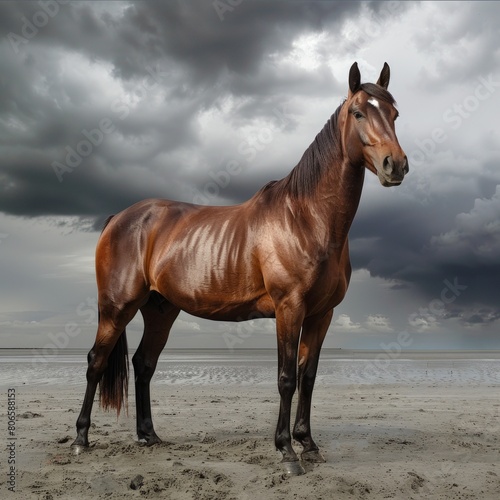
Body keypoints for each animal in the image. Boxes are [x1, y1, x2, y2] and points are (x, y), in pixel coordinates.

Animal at [72, 61, 408, 472]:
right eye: (358, 112)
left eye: (394, 114)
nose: (396, 165)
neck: (306, 218)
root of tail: (119, 218)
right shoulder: (289, 308)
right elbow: (286, 378)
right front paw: (287, 451)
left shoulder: (321, 314)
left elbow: (308, 376)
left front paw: (308, 444)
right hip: (116, 307)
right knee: (96, 361)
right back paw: (81, 439)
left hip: (160, 310)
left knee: (144, 363)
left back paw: (148, 435)